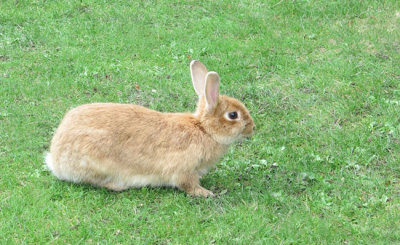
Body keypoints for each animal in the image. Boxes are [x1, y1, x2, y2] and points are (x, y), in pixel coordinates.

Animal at [45, 61, 253, 197]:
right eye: (233, 115)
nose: (252, 127)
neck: (203, 129)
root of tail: (55, 159)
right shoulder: (184, 170)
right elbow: (187, 184)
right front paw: (206, 193)